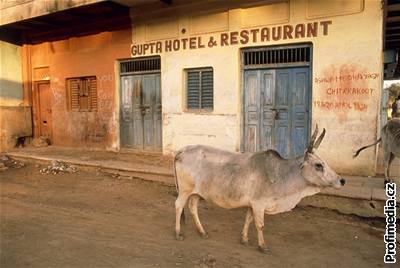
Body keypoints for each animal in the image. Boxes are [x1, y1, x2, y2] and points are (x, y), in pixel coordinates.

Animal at [173, 125, 346, 253]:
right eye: (318, 165)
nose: (342, 180)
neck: (280, 174)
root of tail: (182, 150)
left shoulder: (253, 204)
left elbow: (248, 219)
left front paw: (244, 239)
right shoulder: (259, 204)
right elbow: (260, 224)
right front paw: (263, 246)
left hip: (196, 192)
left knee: (193, 207)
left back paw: (202, 232)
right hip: (184, 190)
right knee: (178, 206)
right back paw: (178, 233)